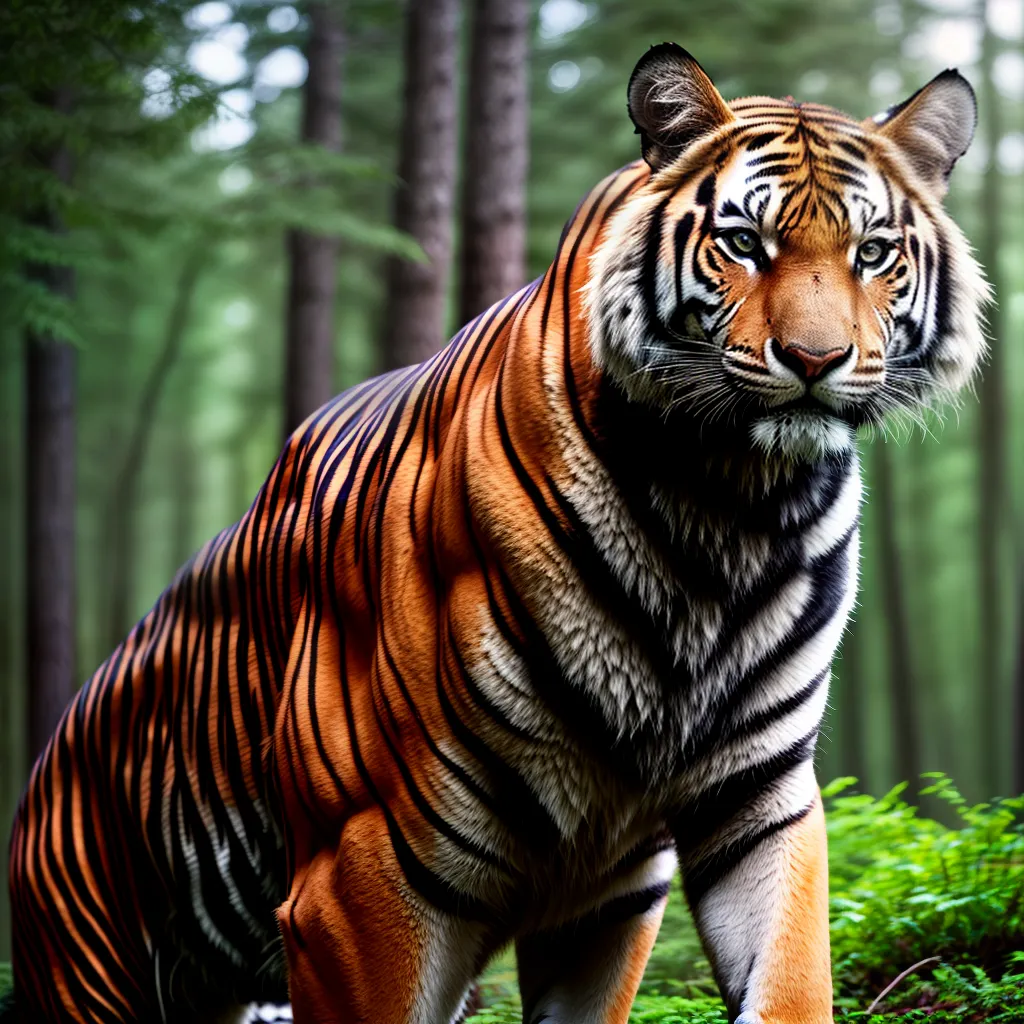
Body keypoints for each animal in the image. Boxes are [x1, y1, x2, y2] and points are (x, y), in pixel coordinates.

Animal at [7, 42, 986, 1024]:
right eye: (745, 242)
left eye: (872, 253)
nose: (816, 361)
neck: (733, 507)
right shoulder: (362, 871)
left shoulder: (741, 811)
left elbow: (788, 983)